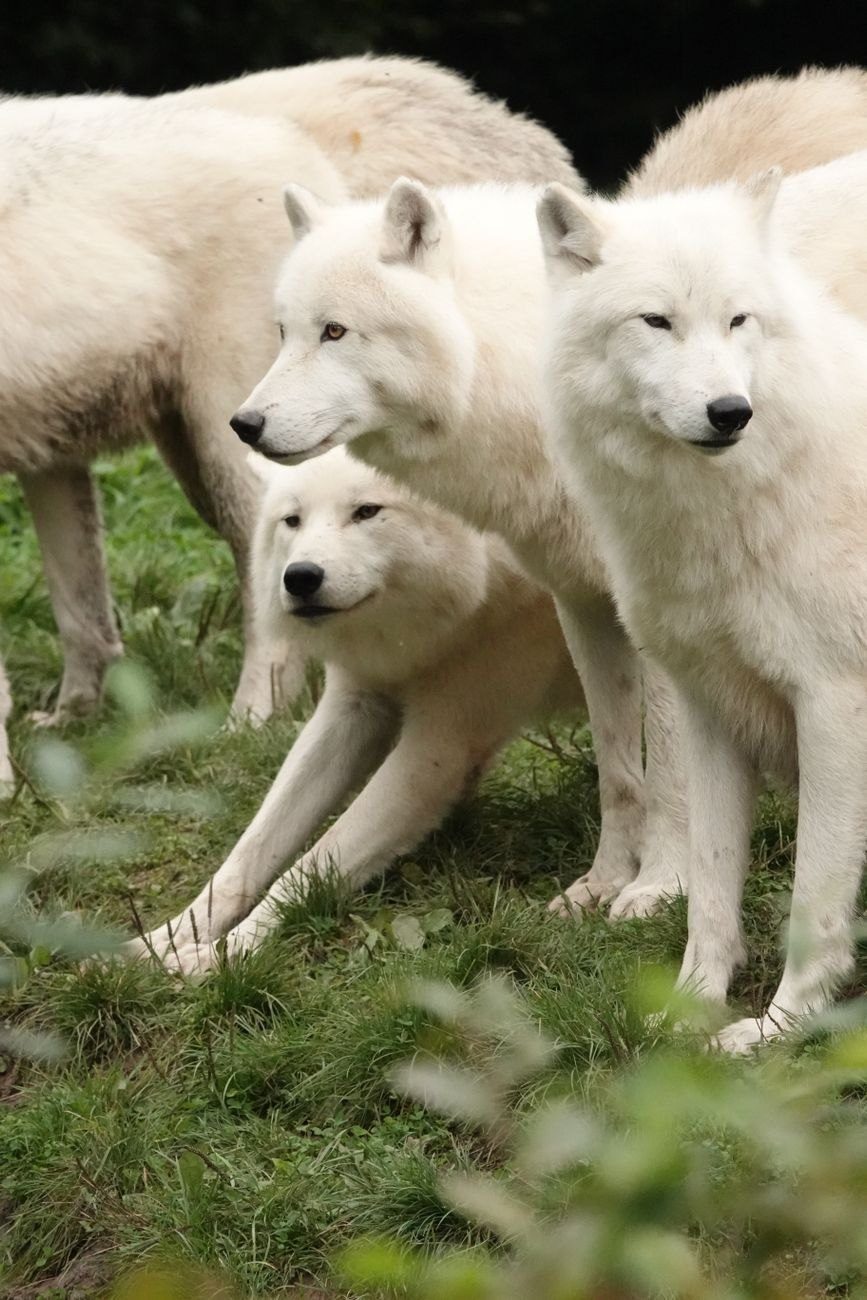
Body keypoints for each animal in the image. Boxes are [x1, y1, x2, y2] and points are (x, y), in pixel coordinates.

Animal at [129, 449, 581, 973]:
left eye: (366, 511)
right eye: (293, 520)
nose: (300, 577)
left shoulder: (439, 747)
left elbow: (308, 866)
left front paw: (221, 955)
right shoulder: (353, 705)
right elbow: (250, 851)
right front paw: (159, 942)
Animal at [537, 150, 867, 1050]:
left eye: (736, 320)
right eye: (656, 322)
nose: (729, 412)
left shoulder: (833, 707)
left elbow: (813, 900)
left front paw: (779, 1028)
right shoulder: (708, 706)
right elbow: (712, 886)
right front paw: (689, 1010)